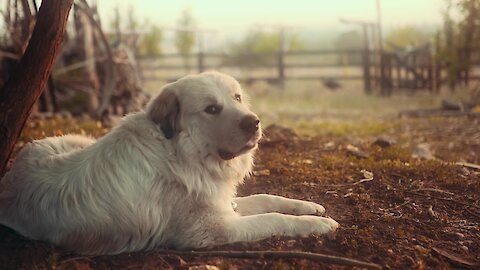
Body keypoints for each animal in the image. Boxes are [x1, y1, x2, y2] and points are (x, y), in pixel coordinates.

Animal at [0, 70, 338, 254]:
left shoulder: (221, 203)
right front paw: (317, 224)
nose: (254, 122)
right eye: (211, 109)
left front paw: (310, 207)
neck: (181, 152)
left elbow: (268, 198)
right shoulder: (214, 230)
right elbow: (272, 219)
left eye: (237, 98)